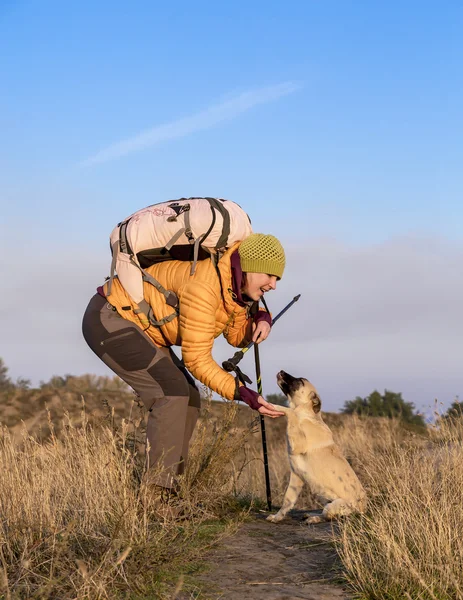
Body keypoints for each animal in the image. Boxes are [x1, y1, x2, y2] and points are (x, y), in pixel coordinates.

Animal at [266, 370, 368, 524]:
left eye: (300, 381)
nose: (281, 371)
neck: (308, 415)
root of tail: (364, 509)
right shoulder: (296, 476)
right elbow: (287, 500)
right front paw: (277, 517)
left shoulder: (298, 443)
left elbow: (291, 412)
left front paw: (273, 405)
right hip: (326, 500)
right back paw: (309, 515)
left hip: (334, 506)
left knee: (330, 516)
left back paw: (314, 518)